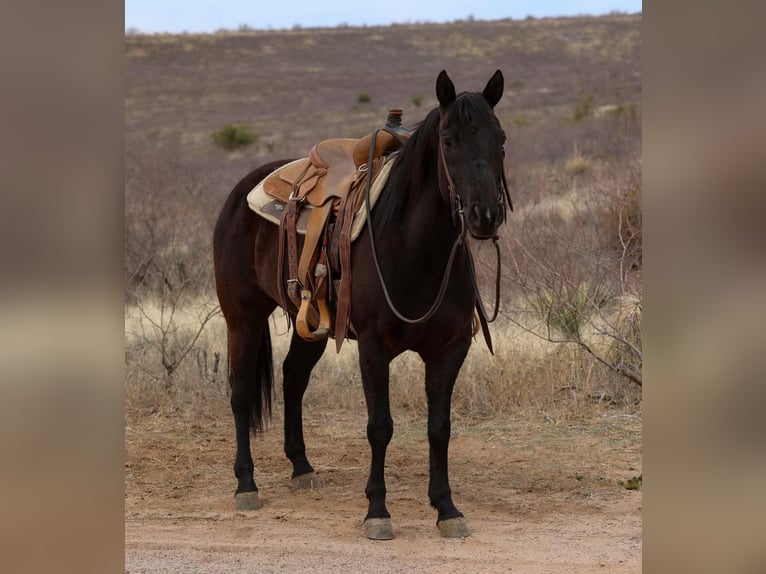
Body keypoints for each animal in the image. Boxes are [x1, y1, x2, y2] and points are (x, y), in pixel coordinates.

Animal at [213, 69, 510, 539]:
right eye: (448, 141)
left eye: (500, 139)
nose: (485, 216)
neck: (416, 249)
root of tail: (245, 187)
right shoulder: (373, 348)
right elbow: (380, 427)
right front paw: (378, 511)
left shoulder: (450, 349)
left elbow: (439, 428)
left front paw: (446, 508)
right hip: (242, 318)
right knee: (241, 393)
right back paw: (246, 484)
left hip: (311, 327)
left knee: (293, 378)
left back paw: (301, 468)